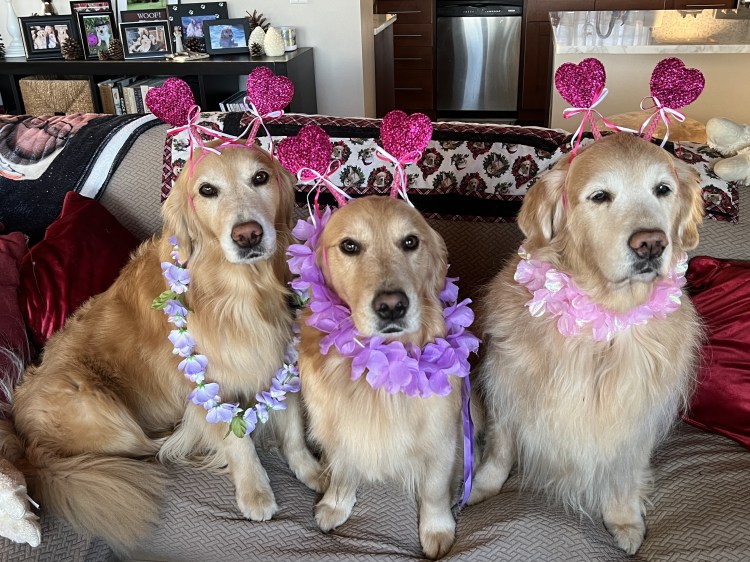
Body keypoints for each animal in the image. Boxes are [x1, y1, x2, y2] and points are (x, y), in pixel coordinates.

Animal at [2, 142, 321, 554]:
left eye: (260, 178)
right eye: (207, 190)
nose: (247, 235)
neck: (242, 289)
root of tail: (25, 448)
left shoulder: (280, 357)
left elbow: (293, 428)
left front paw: (311, 471)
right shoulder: (207, 386)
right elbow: (238, 443)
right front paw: (255, 492)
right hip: (100, 408)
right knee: (146, 449)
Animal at [299, 196, 464, 559]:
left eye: (410, 242)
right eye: (349, 246)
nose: (392, 306)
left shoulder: (443, 437)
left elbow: (434, 490)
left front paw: (437, 529)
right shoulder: (337, 430)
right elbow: (342, 471)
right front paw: (335, 504)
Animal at [469, 133, 704, 554]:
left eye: (663, 189)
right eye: (600, 196)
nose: (651, 244)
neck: (603, 323)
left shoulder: (636, 417)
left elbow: (624, 474)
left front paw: (624, 520)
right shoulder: (506, 389)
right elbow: (499, 449)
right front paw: (481, 489)